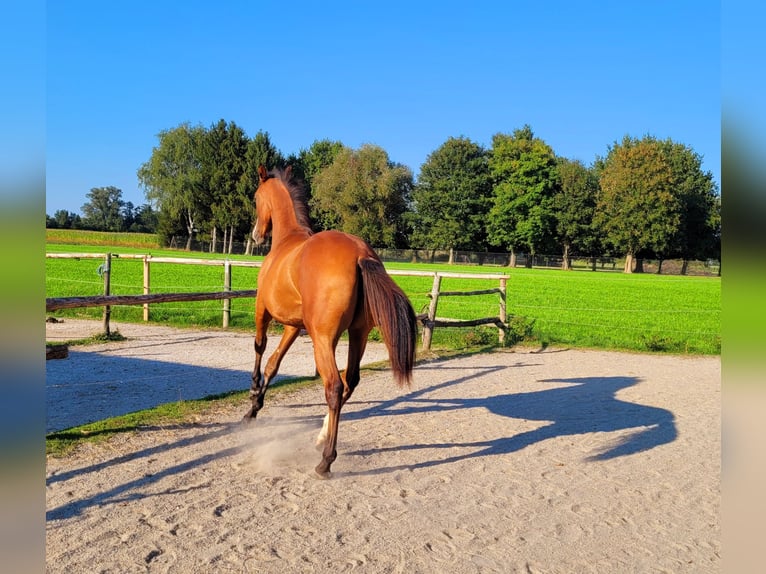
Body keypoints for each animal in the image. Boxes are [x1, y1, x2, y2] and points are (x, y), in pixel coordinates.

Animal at [244, 164, 414, 480]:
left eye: (255, 197)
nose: (256, 235)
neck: (287, 240)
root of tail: (361, 254)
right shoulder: (293, 326)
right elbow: (274, 363)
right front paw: (257, 403)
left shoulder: (263, 309)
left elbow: (260, 347)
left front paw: (251, 401)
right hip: (358, 335)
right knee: (351, 381)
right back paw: (321, 436)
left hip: (323, 340)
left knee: (334, 386)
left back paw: (326, 460)